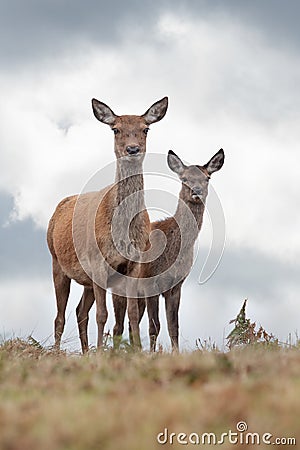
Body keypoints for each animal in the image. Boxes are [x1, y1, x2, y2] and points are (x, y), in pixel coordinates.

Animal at [47, 96, 169, 354]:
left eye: (146, 129)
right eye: (116, 129)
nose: (132, 149)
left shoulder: (134, 264)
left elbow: (132, 314)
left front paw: (136, 352)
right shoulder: (98, 263)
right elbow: (102, 315)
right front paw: (102, 353)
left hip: (86, 280)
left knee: (79, 311)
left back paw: (85, 352)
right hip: (57, 263)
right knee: (60, 316)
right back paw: (57, 352)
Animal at [111, 149, 224, 350]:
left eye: (207, 178)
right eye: (184, 178)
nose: (197, 191)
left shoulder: (176, 286)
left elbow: (174, 326)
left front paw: (175, 352)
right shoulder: (149, 282)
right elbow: (154, 326)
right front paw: (152, 354)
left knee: (130, 325)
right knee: (118, 326)